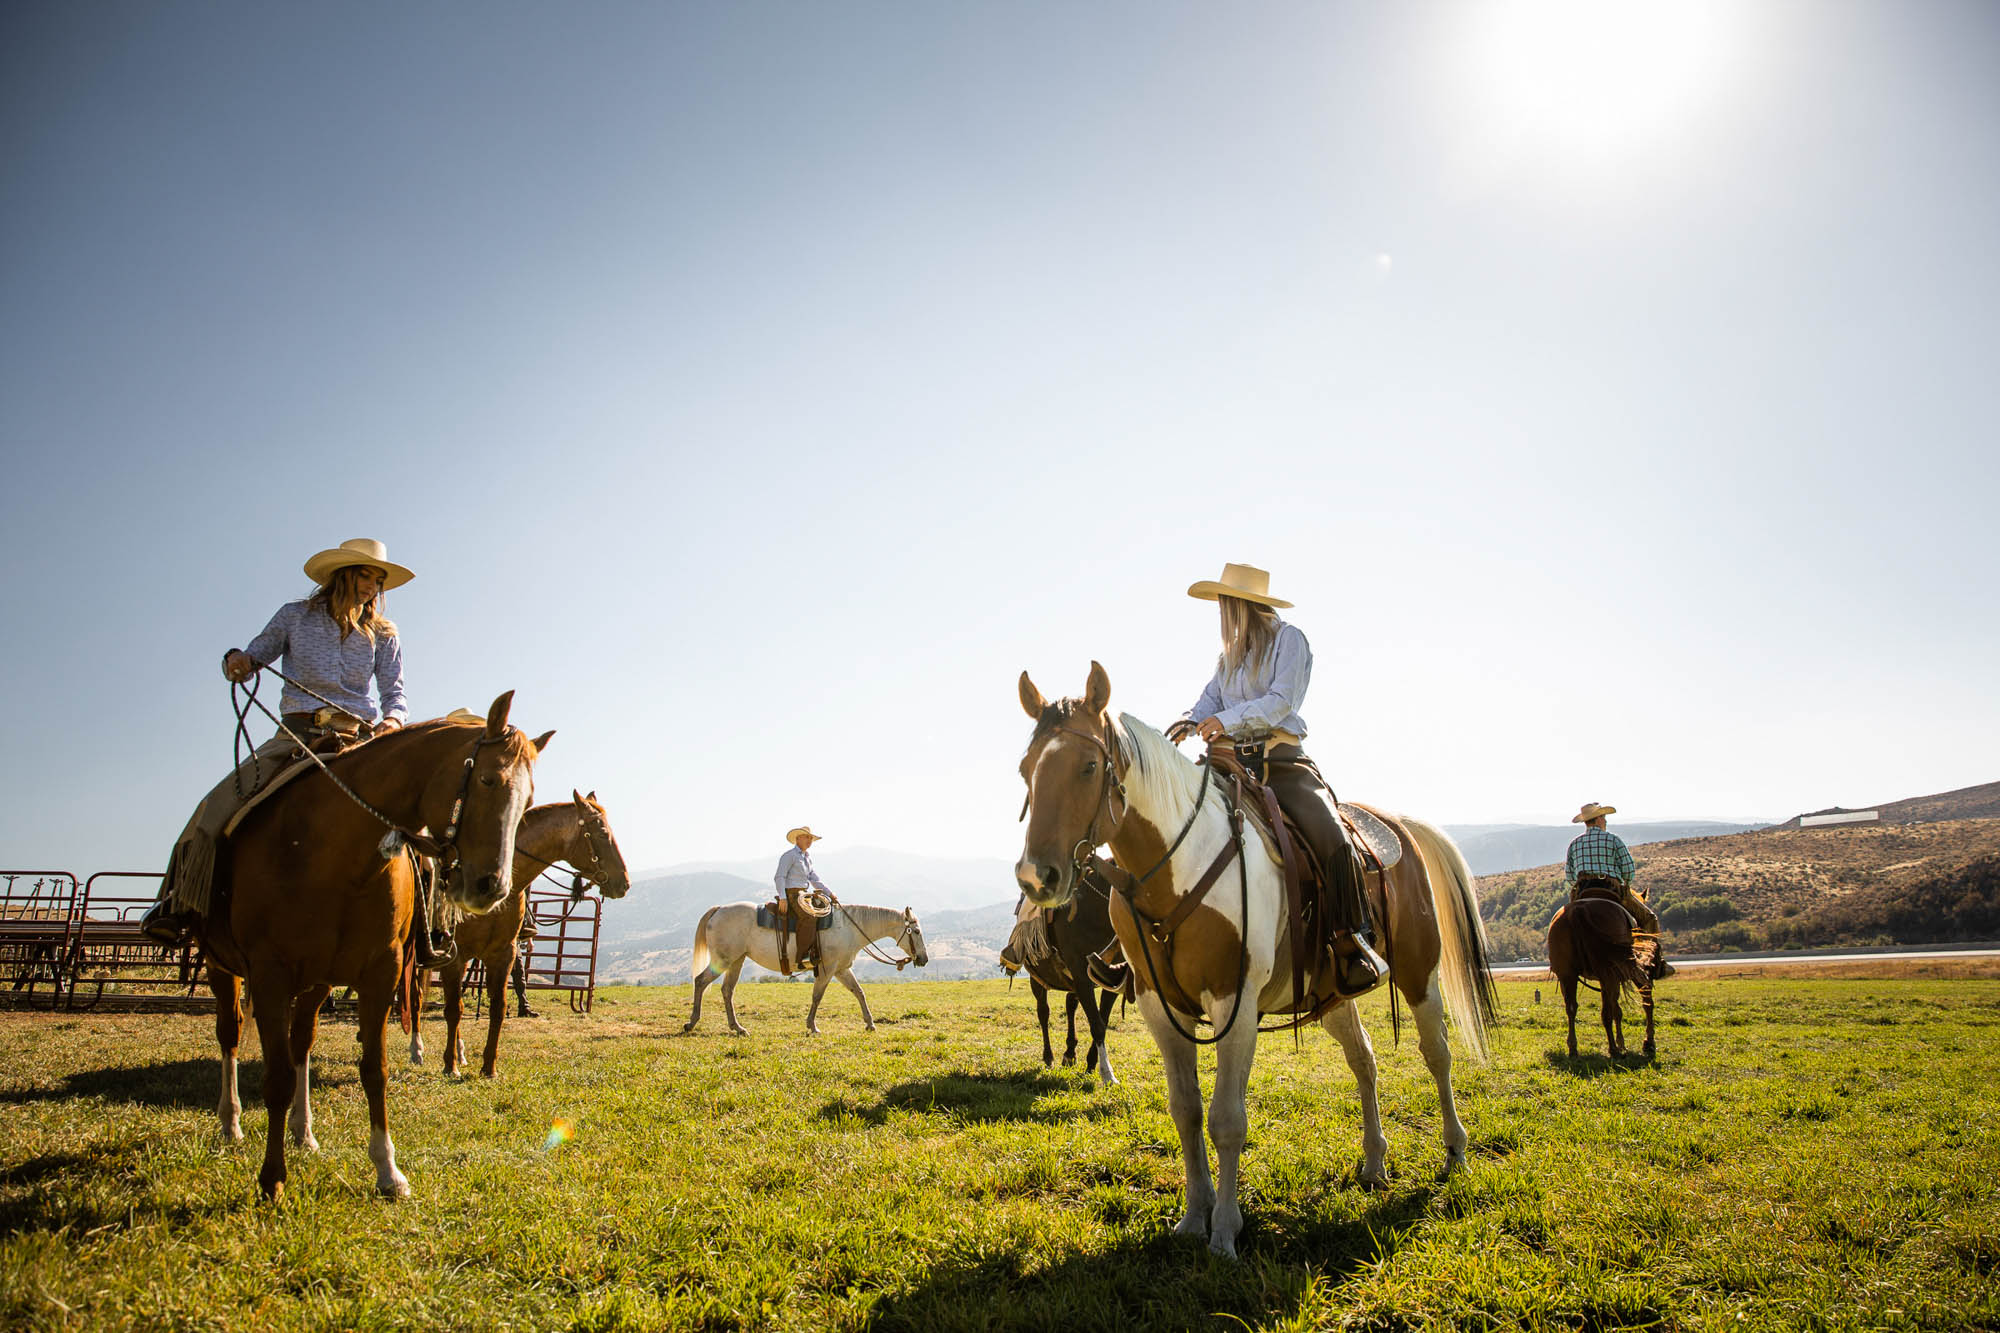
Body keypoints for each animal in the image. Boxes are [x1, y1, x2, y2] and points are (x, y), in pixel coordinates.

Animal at [202, 688, 548, 1200]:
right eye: (487, 780)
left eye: (527, 802)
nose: (491, 887)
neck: (326, 845)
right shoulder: (269, 974)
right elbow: (276, 1075)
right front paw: (272, 1179)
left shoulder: (380, 970)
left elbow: (374, 1068)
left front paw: (388, 1171)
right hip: (221, 966)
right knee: (230, 1034)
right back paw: (231, 1124)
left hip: (319, 980)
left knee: (302, 1041)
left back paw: (304, 1132)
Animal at [418, 784, 636, 1072]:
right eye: (602, 833)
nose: (624, 883)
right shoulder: (456, 956)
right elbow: (454, 1009)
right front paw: (450, 1065)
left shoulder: (503, 953)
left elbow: (498, 1007)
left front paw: (489, 1066)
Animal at [680, 896, 928, 1032]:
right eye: (916, 931)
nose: (924, 959)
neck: (849, 927)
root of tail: (718, 910)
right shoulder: (828, 969)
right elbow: (817, 996)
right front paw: (812, 1026)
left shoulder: (842, 969)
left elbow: (859, 992)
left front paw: (870, 1024)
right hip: (723, 960)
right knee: (700, 981)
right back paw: (692, 1023)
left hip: (736, 960)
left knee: (727, 990)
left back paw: (737, 1028)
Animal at [1024, 664, 1496, 1256]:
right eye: (1025, 770)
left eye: (1088, 767)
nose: (1035, 877)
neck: (1179, 863)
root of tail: (1396, 825)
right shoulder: (1160, 1008)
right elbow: (1186, 1111)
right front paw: (1193, 1216)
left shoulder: (1236, 1004)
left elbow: (1227, 1119)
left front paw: (1225, 1230)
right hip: (1332, 992)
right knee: (1363, 1059)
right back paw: (1374, 1162)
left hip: (1418, 973)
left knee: (1437, 1054)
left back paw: (1455, 1152)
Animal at [1544, 892, 1656, 1056]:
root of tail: (1579, 910)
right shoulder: (1616, 977)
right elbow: (1624, 1009)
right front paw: (1640, 1042)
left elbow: (1616, 1009)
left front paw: (1622, 1042)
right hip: (1607, 973)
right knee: (1609, 1012)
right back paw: (1614, 1049)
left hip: (1567, 975)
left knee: (1571, 1008)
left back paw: (1573, 1047)